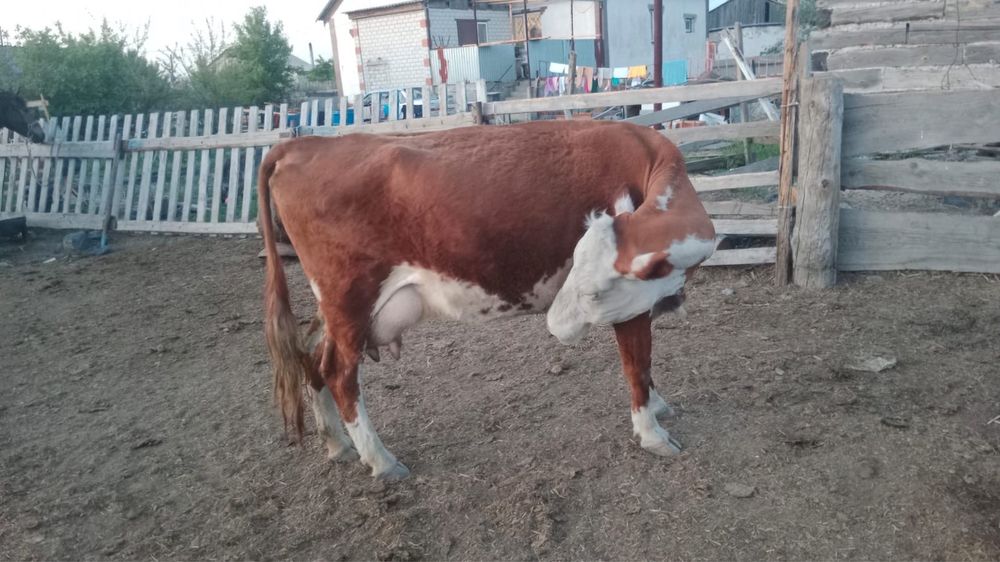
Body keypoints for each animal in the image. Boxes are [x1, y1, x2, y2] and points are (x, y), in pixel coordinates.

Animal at [257, 119, 716, 480]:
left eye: (591, 290)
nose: (555, 326)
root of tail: (304, 144)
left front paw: (657, 407)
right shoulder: (632, 306)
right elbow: (637, 363)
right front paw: (652, 433)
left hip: (338, 311)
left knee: (313, 358)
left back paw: (336, 443)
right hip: (349, 299)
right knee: (339, 374)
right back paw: (382, 461)